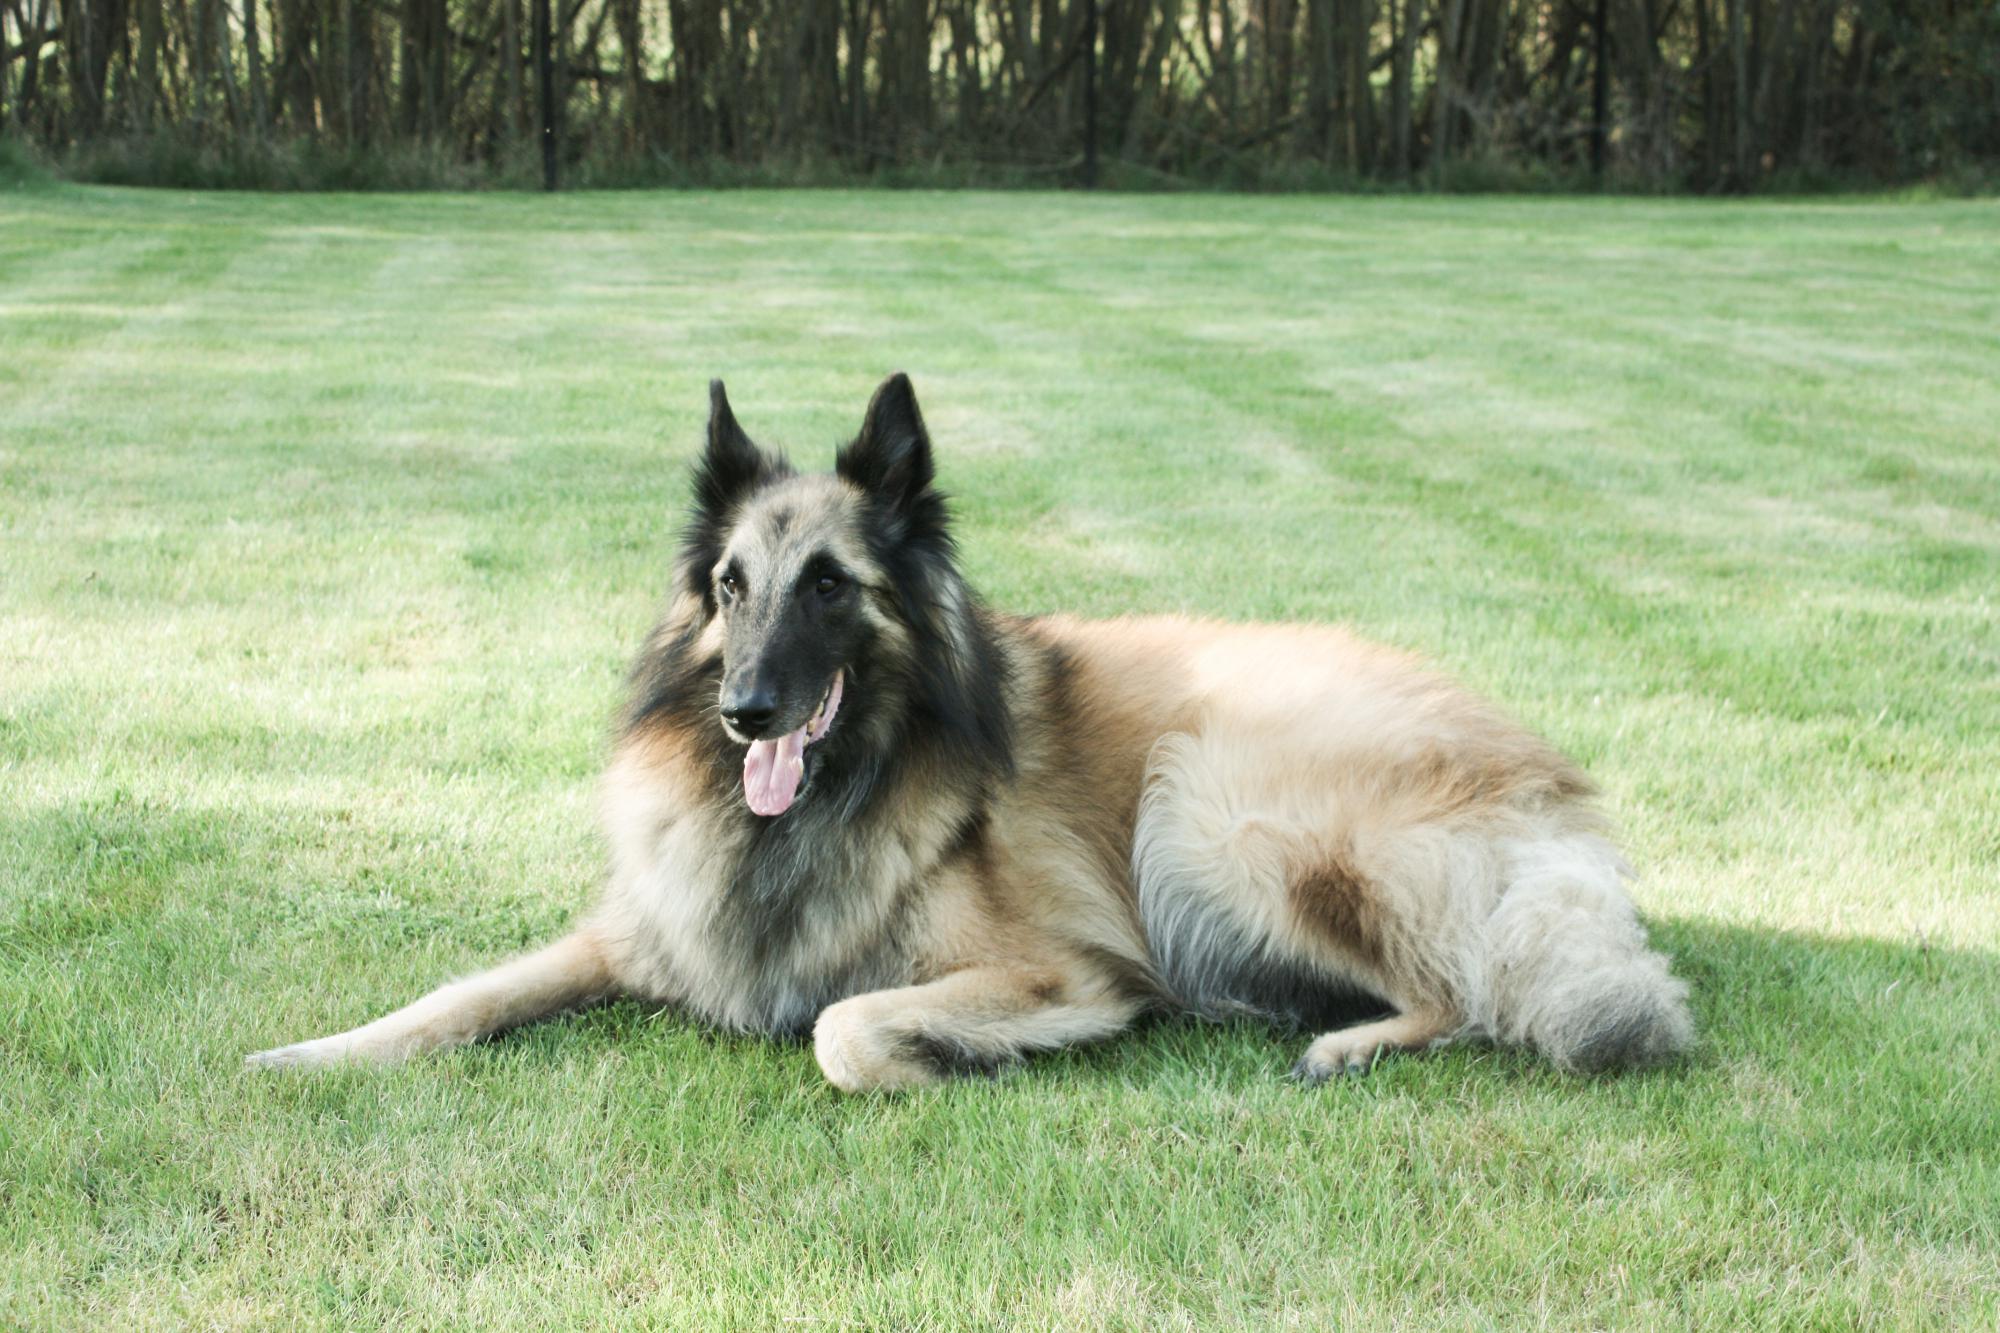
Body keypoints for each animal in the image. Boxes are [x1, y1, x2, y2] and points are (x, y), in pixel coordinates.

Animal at [246, 374, 1688, 1088]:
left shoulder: (1067, 966)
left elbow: (844, 1030)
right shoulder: (635, 933)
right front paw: (314, 1053)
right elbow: (455, 996)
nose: (746, 708)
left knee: (1471, 992)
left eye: (831, 584)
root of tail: (1545, 775)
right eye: (732, 586)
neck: (830, 795)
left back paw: (1341, 1042)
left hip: (1210, 806)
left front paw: (944, 1058)